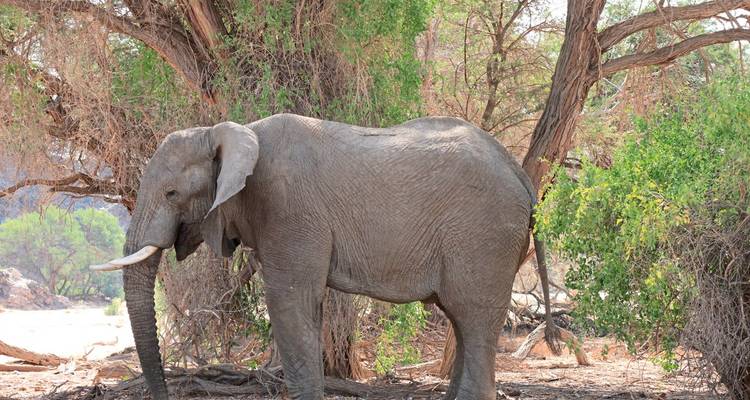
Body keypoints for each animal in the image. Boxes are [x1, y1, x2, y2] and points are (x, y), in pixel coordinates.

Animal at [91, 113, 559, 400]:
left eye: (172, 193)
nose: (163, 393)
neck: (231, 132)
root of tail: (521, 176)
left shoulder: (290, 211)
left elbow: (289, 301)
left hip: (483, 237)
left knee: (473, 317)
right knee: (462, 321)